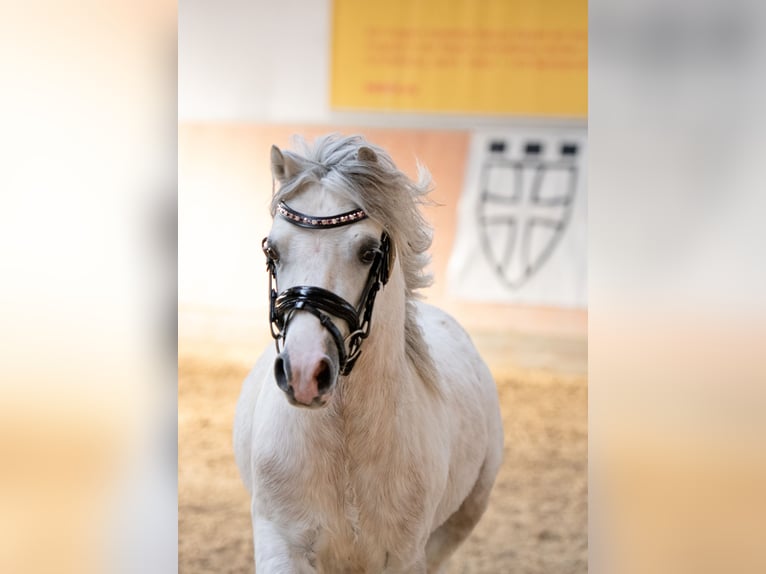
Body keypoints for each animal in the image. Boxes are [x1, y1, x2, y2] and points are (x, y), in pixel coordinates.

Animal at [234, 134, 503, 573]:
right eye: (272, 252)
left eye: (367, 252)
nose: (304, 373)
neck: (346, 448)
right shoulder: (281, 545)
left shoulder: (406, 556)